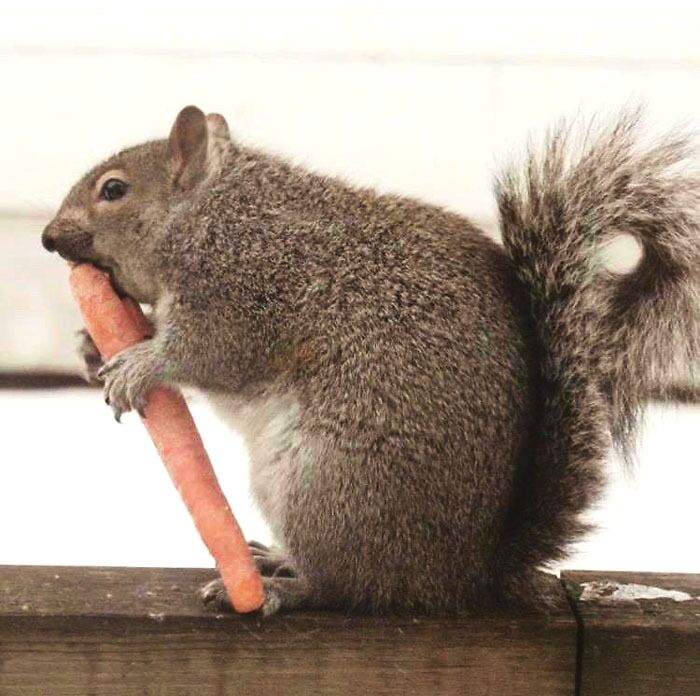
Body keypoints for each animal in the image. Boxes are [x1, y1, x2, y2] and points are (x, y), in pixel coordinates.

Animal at [42, 105, 699, 616]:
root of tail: (462, 575)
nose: (48, 239)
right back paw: (275, 560)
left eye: (114, 190)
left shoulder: (250, 290)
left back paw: (282, 589)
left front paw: (138, 367)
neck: (211, 211)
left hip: (330, 486)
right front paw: (92, 348)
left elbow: (210, 352)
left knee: (349, 587)